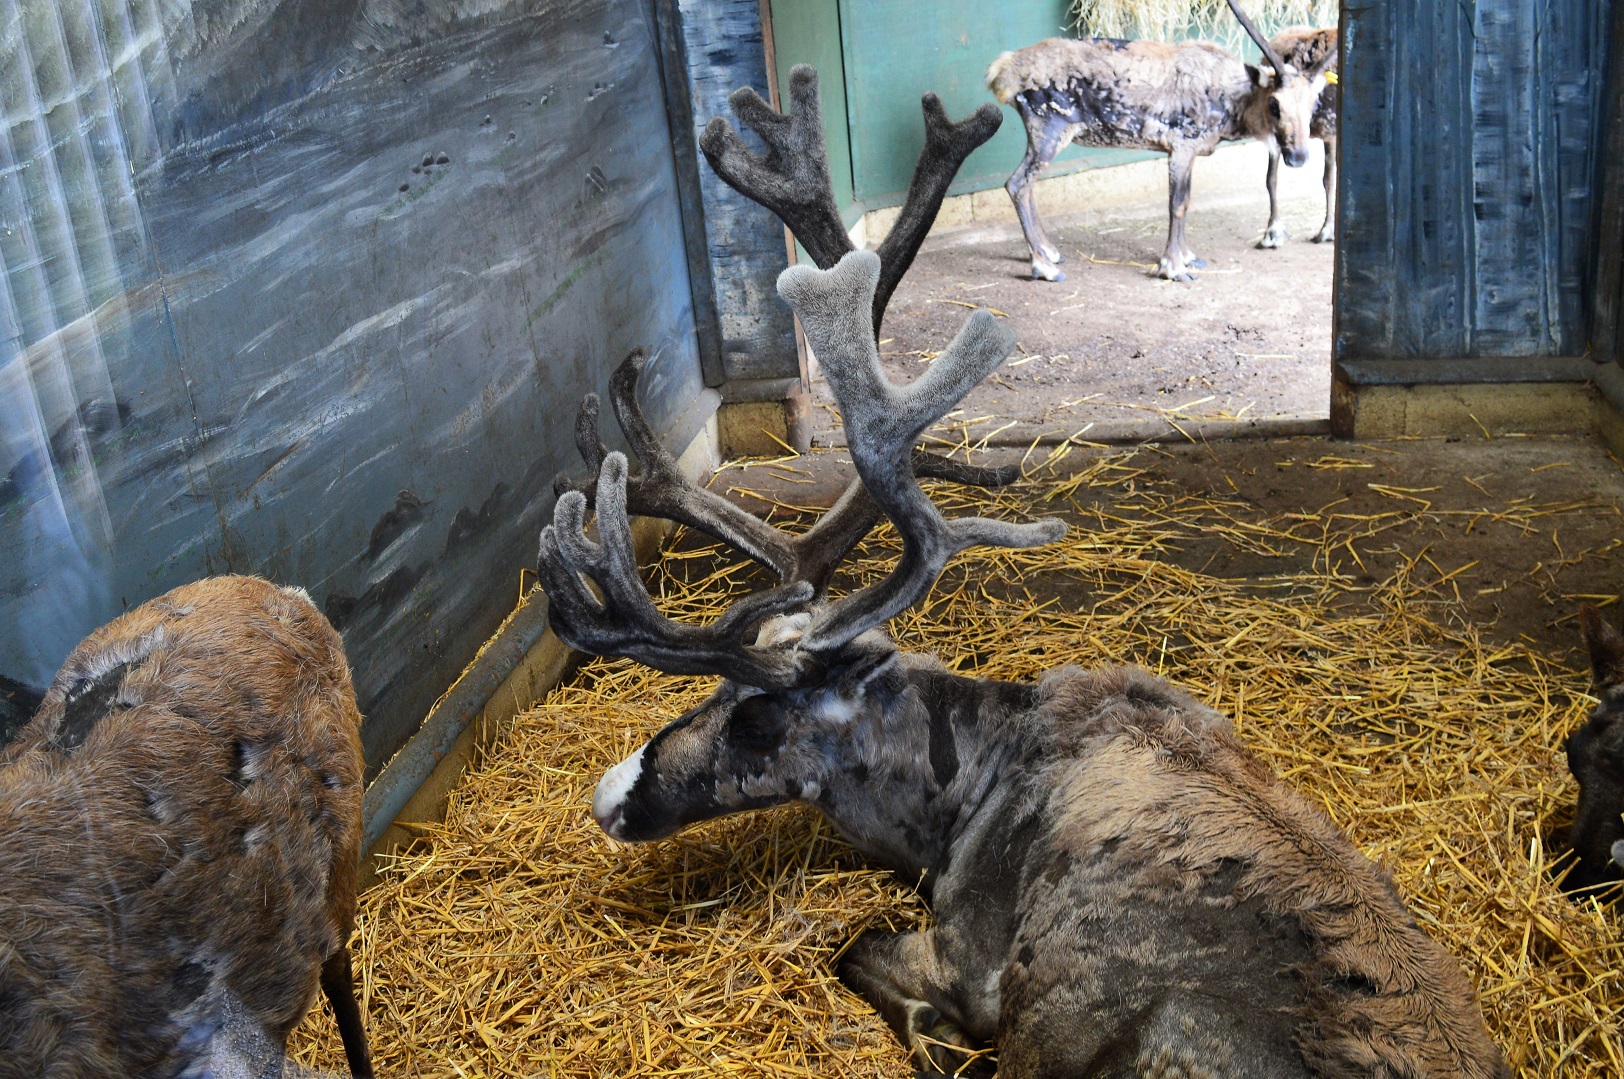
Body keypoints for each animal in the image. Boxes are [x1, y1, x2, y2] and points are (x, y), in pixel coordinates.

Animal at [536, 66, 1509, 1079]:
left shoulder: (968, 952)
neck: (958, 794)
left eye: (757, 718)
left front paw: (936, 1039)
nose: (610, 791)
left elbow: (855, 948)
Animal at [1258, 27, 1338, 249]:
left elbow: (1329, 179)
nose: (1297, 158)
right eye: (1274, 105)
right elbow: (1271, 179)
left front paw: (1327, 230)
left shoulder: (1331, 131)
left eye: (1315, 102)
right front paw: (1272, 231)